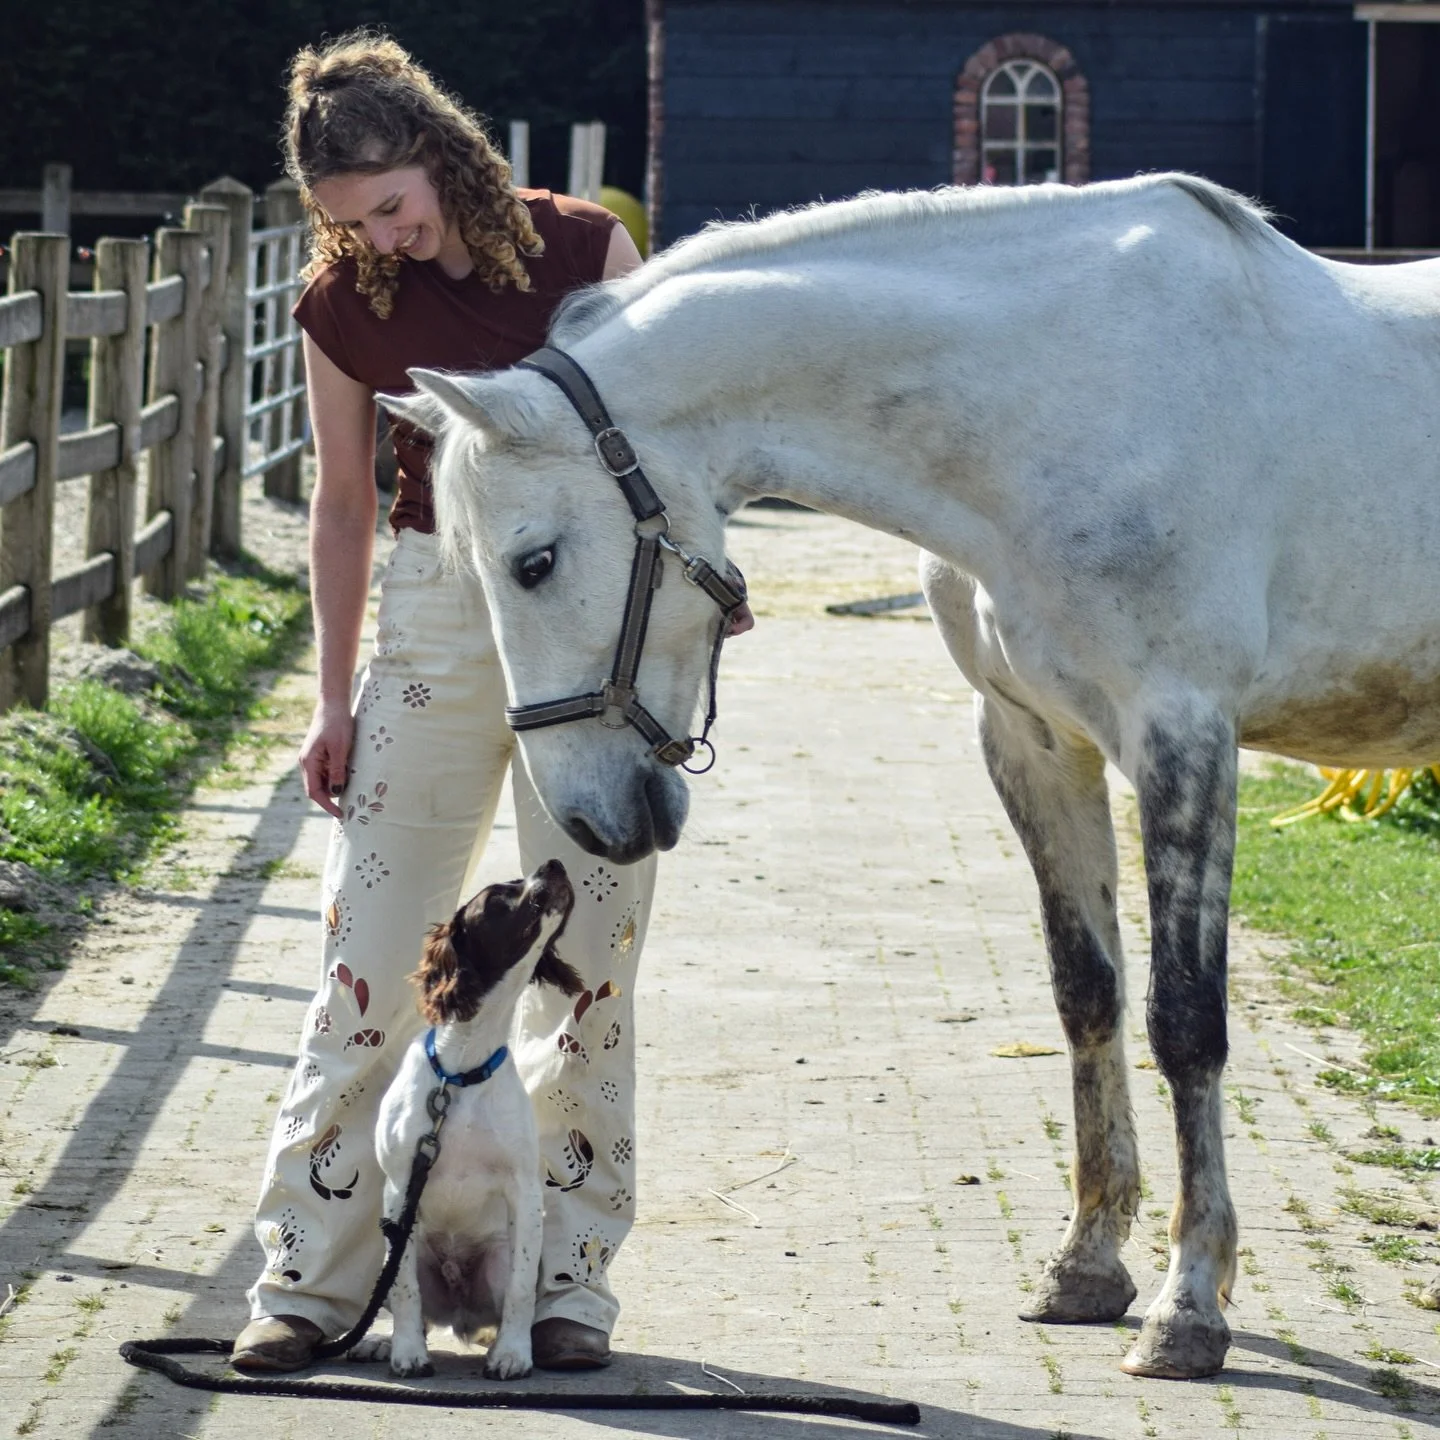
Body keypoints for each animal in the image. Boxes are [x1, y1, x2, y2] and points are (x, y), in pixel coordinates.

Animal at [379, 173, 1440, 1379]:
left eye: (535, 562)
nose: (591, 821)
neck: (1066, 394)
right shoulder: (1034, 743)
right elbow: (1088, 995)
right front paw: (1085, 1268)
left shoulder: (1184, 737)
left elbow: (1186, 1021)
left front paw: (1188, 1305)